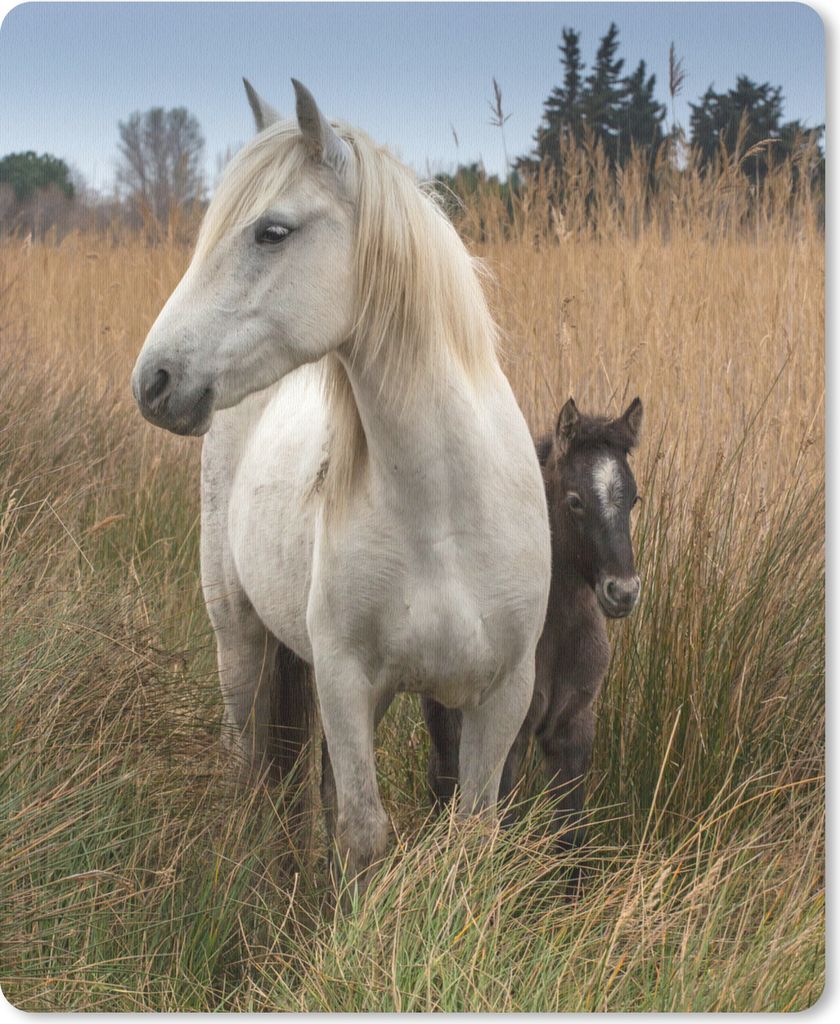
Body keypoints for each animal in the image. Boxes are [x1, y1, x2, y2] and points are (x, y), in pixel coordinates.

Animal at [131, 80, 551, 886]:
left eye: (272, 231)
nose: (154, 381)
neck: (444, 514)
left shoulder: (501, 695)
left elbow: (470, 836)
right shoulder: (346, 681)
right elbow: (362, 833)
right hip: (238, 632)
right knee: (246, 756)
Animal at [422, 396, 643, 859]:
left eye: (634, 499)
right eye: (575, 501)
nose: (623, 592)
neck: (556, 633)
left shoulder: (573, 730)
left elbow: (570, 836)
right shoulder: (513, 735)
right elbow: (501, 827)